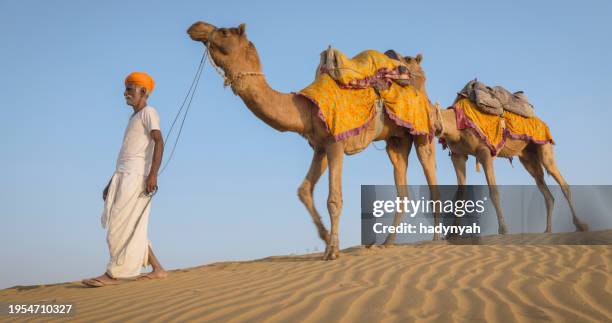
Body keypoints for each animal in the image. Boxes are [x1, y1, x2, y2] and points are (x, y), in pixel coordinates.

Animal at [186, 21, 440, 260]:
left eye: (224, 32)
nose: (195, 27)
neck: (304, 107)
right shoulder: (320, 146)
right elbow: (304, 190)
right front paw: (327, 239)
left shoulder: (336, 141)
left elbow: (334, 199)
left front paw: (332, 251)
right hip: (397, 141)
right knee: (401, 187)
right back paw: (387, 242)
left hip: (422, 131)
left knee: (431, 178)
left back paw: (437, 238)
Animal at [430, 102, 588, 234]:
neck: (455, 123)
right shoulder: (457, 155)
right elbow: (460, 194)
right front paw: (453, 233)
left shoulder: (484, 152)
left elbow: (494, 192)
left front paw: (503, 229)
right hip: (528, 157)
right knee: (544, 187)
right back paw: (548, 230)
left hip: (544, 145)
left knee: (561, 181)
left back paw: (581, 225)